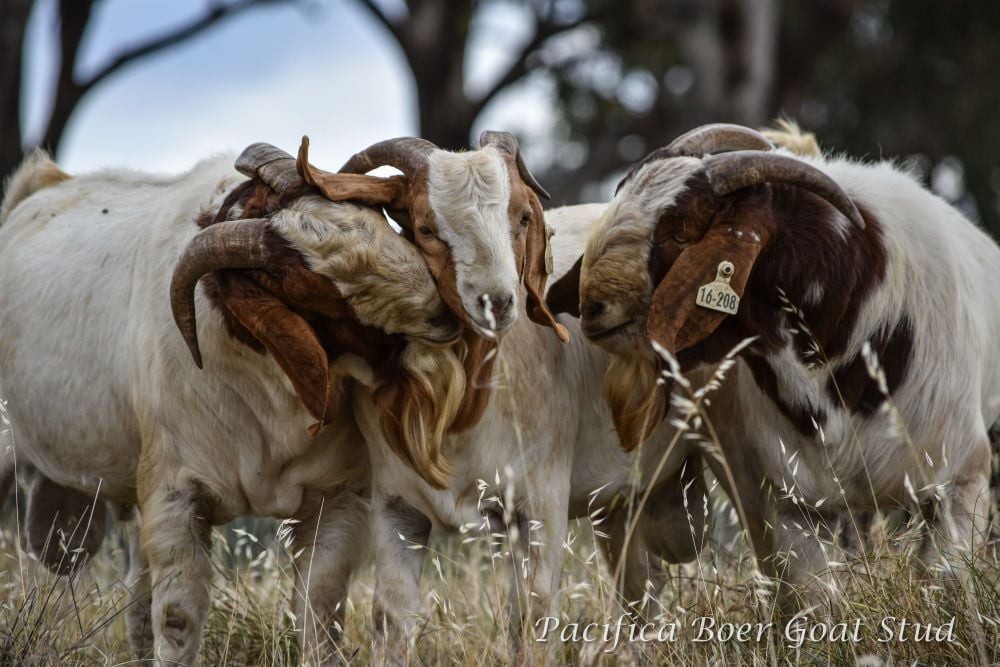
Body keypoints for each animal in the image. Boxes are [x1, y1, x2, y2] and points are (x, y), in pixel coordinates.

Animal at [0, 140, 466, 665]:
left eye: (374, 220)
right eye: (312, 293)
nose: (441, 314)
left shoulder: (339, 496)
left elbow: (320, 609)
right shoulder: (174, 495)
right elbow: (178, 618)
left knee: (136, 590)